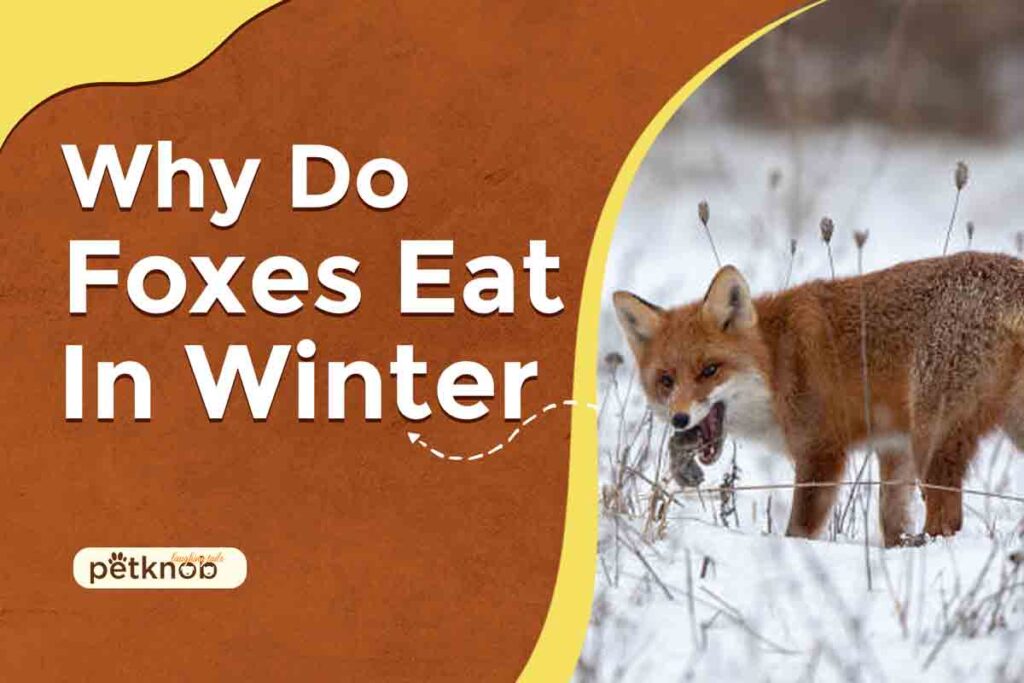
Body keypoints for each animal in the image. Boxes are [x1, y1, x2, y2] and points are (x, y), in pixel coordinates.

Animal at [613, 251, 1024, 547]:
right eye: (666, 380)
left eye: (710, 370)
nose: (679, 419)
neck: (776, 360)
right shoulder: (893, 445)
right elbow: (891, 520)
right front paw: (897, 552)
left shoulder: (821, 451)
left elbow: (800, 528)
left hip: (932, 439)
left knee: (948, 521)